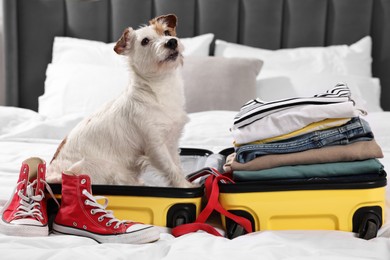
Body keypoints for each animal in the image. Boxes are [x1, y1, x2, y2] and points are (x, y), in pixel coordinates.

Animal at [46, 14, 193, 188]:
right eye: (145, 41)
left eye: (167, 32)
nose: (171, 42)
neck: (159, 89)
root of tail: (51, 176)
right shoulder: (156, 146)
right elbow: (171, 168)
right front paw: (185, 186)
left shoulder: (171, 142)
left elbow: (177, 164)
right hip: (107, 168)